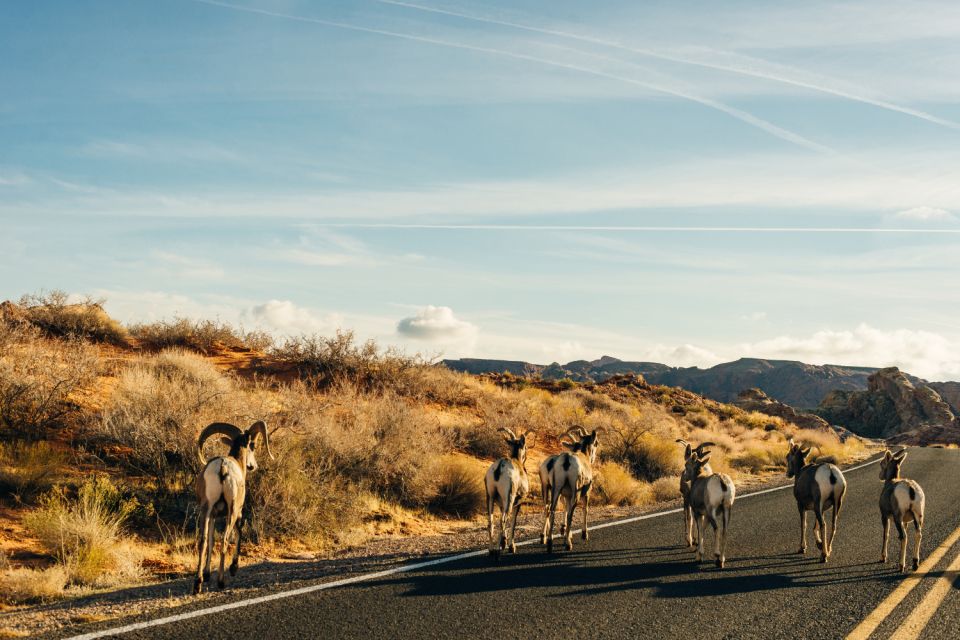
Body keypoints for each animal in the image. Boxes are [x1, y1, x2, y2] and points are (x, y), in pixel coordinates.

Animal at [193, 420, 272, 596]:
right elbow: (239, 532)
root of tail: (223, 467)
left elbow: (210, 540)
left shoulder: (213, 515)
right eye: (252, 446)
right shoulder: (239, 511)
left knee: (203, 541)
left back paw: (197, 584)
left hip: (205, 509)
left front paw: (207, 574)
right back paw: (221, 582)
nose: (252, 466)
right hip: (232, 510)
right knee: (224, 540)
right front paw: (234, 568)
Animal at [484, 428, 536, 556]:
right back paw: (497, 551)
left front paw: (504, 543)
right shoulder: (517, 504)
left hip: (490, 498)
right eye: (525, 446)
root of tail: (498, 468)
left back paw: (491, 550)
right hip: (509, 499)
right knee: (502, 520)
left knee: (491, 522)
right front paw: (511, 547)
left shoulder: (501, 505)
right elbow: (513, 523)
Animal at [544, 424, 596, 556]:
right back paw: (568, 544)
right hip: (575, 494)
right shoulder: (586, 494)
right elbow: (585, 510)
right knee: (570, 515)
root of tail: (566, 460)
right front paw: (584, 535)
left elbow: (565, 510)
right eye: (595, 444)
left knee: (552, 511)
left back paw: (550, 544)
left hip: (556, 491)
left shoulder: (566, 496)